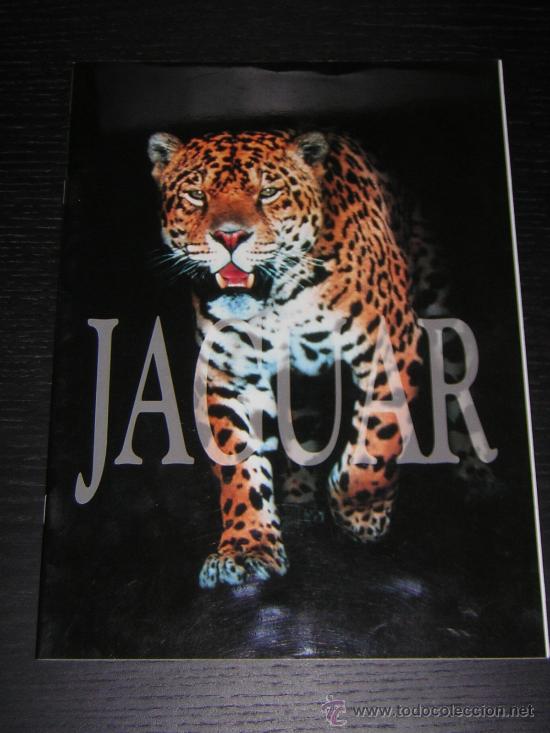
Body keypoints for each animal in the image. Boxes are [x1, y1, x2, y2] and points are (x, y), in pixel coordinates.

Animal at [148, 129, 434, 589]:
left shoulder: (393, 344)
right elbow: (239, 465)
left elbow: (378, 438)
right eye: (196, 195)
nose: (230, 238)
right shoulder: (228, 373)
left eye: (268, 193)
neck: (278, 299)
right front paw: (246, 548)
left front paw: (359, 515)